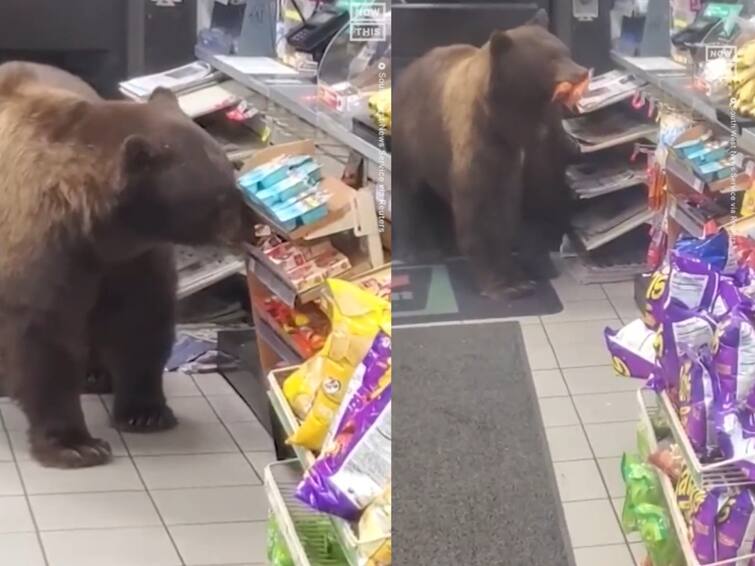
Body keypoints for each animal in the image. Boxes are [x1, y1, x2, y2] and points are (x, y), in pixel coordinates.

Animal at [0, 63, 244, 470]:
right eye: (220, 196)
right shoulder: (43, 247)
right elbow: (43, 337)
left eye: (232, 177)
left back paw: (96, 375)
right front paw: (76, 444)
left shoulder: (131, 259)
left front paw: (145, 412)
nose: (250, 228)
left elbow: (139, 319)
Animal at [392, 11, 588, 300]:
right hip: (413, 138)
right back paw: (416, 249)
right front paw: (502, 283)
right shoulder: (479, 143)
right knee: (408, 192)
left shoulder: (528, 146)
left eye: (565, 50)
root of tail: (406, 71)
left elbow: (515, 207)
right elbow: (479, 210)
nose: (581, 71)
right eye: (551, 57)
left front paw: (520, 274)